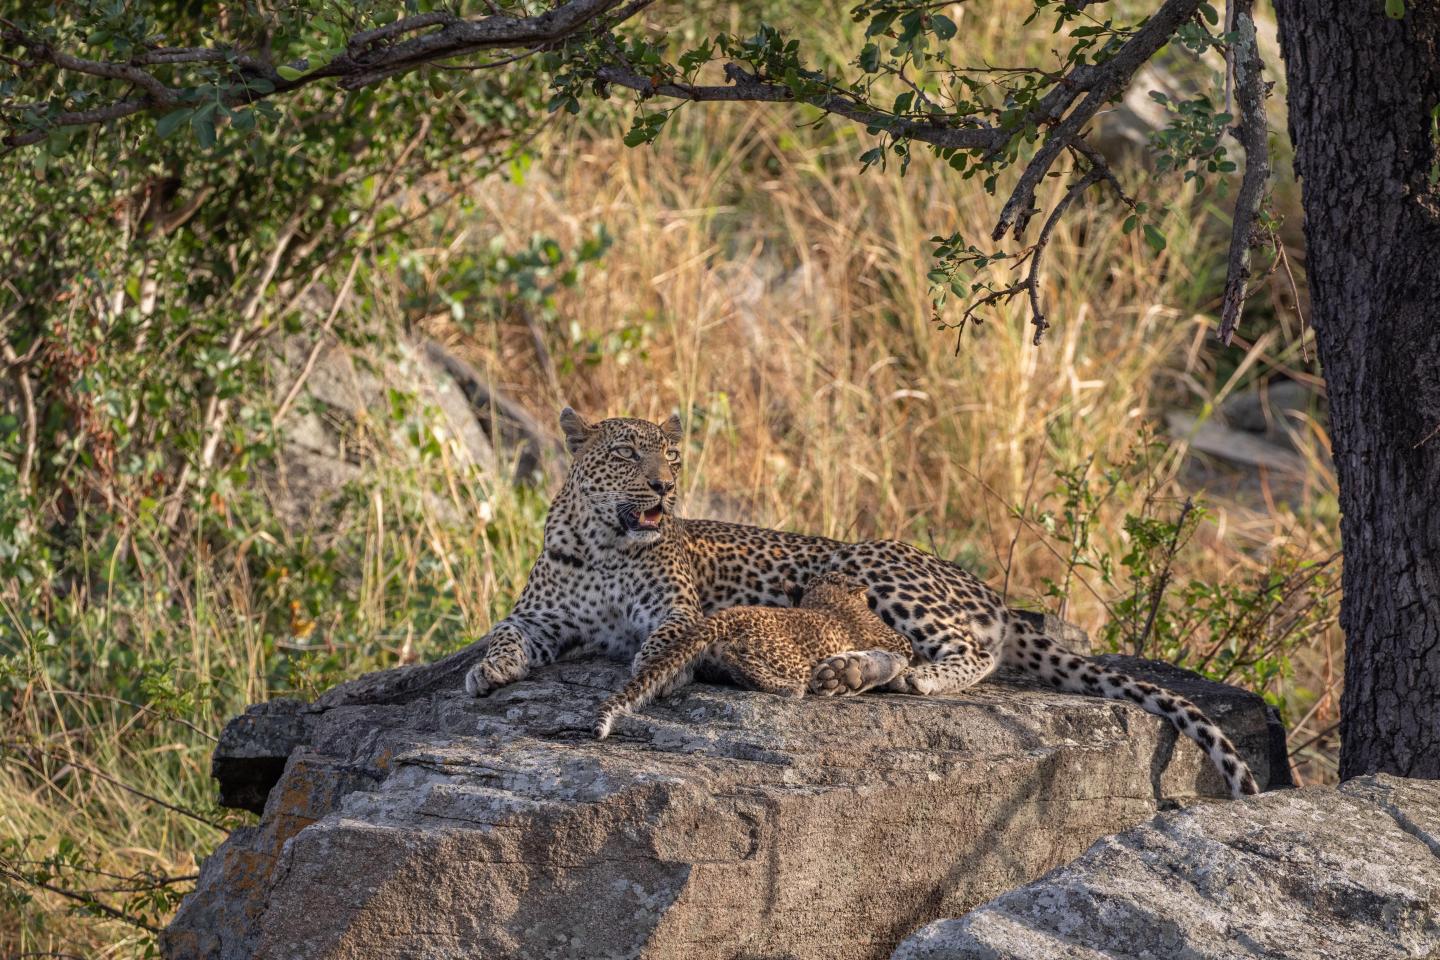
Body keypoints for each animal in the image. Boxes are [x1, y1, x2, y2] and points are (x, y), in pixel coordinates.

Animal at [593, 569, 910, 742]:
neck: (827, 596)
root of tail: (726, 617)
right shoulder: (898, 642)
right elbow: (900, 658)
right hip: (788, 658)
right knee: (742, 659)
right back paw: (790, 688)